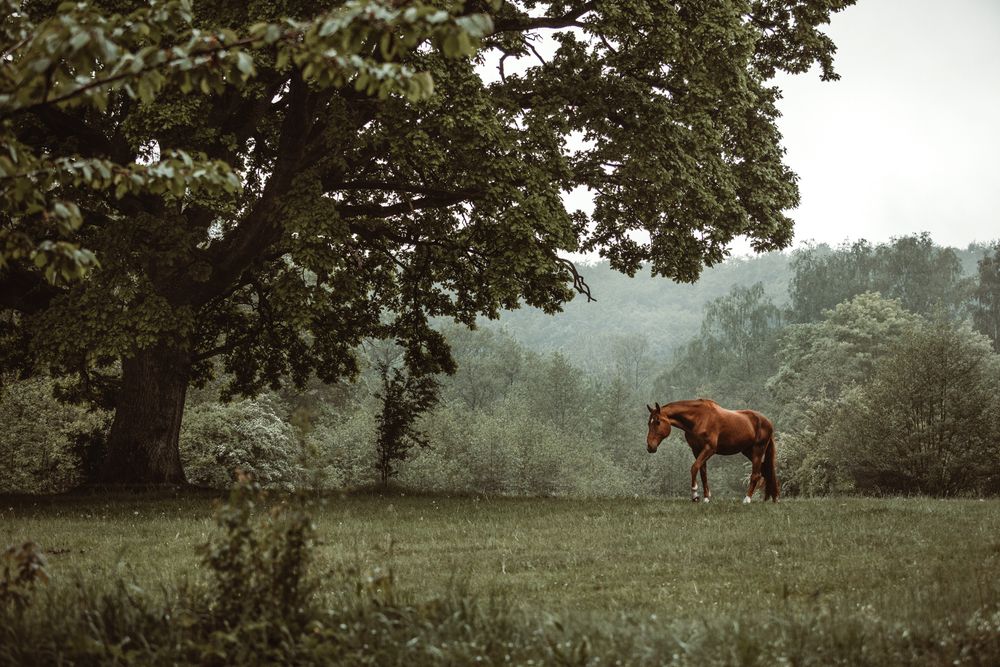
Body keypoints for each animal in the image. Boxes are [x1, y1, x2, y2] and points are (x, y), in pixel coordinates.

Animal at [645, 399, 779, 503]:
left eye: (658, 422)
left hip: (758, 450)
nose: (650, 447)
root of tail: (767, 422)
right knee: (765, 470)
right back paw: (771, 498)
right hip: (747, 451)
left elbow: (694, 467)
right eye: (649, 423)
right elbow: (703, 472)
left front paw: (695, 495)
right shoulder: (697, 450)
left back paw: (747, 499)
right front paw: (706, 498)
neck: (699, 418)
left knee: (755, 474)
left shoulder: (709, 449)